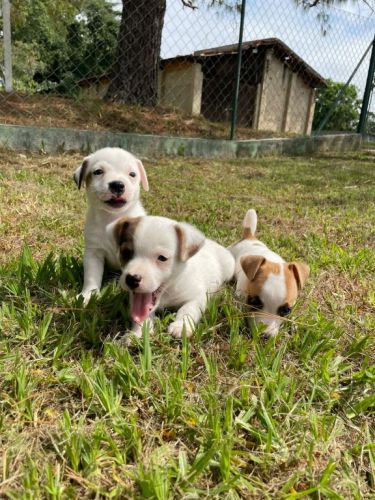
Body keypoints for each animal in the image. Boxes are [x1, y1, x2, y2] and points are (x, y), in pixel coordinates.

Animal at [73, 147, 150, 304]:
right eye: (98, 172)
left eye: (132, 174)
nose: (117, 185)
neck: (113, 217)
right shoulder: (93, 253)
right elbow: (91, 276)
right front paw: (88, 295)